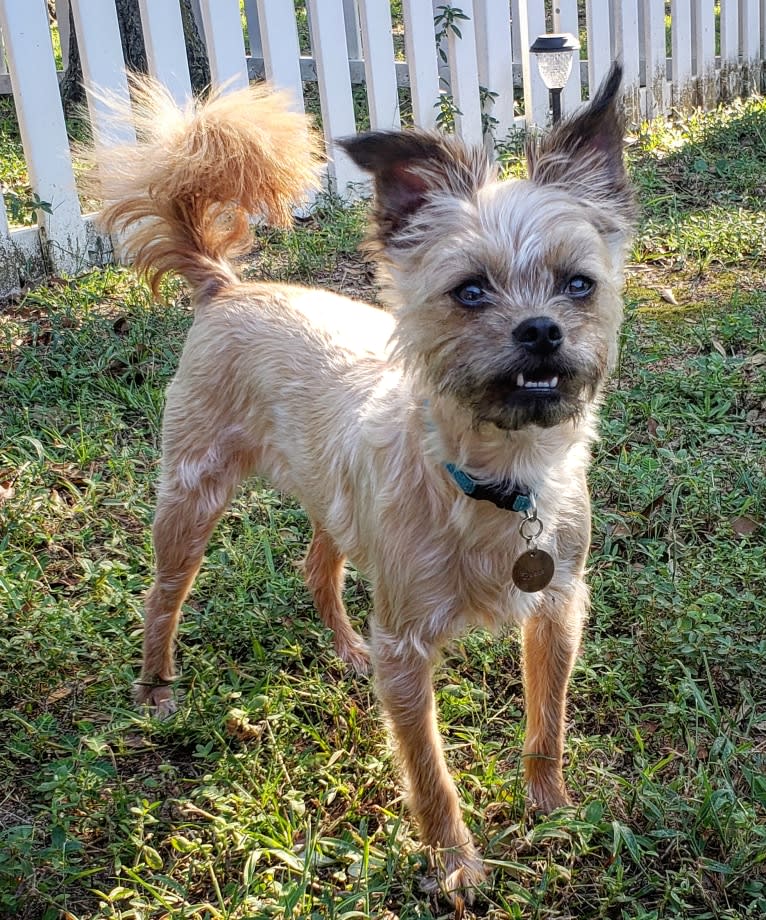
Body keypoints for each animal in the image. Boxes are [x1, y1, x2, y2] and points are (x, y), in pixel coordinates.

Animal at [88, 68, 636, 904]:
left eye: (579, 284)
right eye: (469, 292)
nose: (541, 330)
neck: (499, 478)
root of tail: (227, 288)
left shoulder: (557, 610)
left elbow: (548, 722)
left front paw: (551, 807)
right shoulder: (407, 650)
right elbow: (430, 773)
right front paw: (455, 863)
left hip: (335, 503)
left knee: (317, 567)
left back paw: (348, 649)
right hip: (191, 498)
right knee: (162, 597)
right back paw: (155, 686)